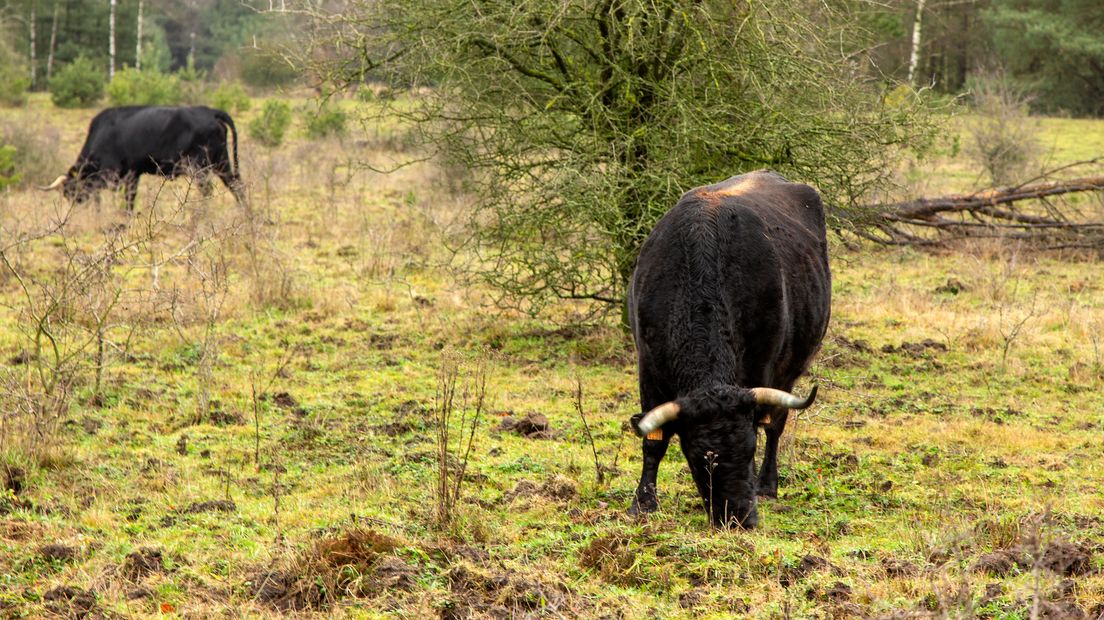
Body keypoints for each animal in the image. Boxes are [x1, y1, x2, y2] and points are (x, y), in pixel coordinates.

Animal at [41, 104, 246, 208]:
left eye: (70, 192)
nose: (76, 208)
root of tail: (210, 111)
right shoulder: (132, 174)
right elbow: (130, 197)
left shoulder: (111, 173)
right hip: (222, 162)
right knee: (236, 185)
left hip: (199, 167)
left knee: (207, 190)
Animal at [627, 168, 830, 525]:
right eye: (698, 458)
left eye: (749, 451)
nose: (739, 518)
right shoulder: (649, 368)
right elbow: (654, 443)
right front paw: (644, 502)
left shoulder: (762, 368)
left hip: (790, 371)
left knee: (776, 426)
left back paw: (768, 485)